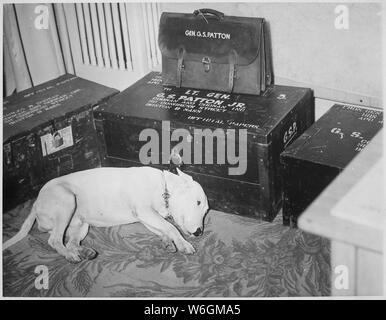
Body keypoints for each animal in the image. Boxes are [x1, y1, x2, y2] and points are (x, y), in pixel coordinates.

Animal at [3, 168, 208, 262]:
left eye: (206, 211)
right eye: (198, 202)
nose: (199, 232)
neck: (164, 189)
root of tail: (36, 202)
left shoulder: (146, 217)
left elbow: (162, 228)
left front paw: (167, 242)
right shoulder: (144, 210)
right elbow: (171, 227)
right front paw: (183, 244)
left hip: (81, 224)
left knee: (70, 241)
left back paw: (84, 252)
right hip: (66, 200)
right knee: (54, 240)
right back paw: (70, 256)